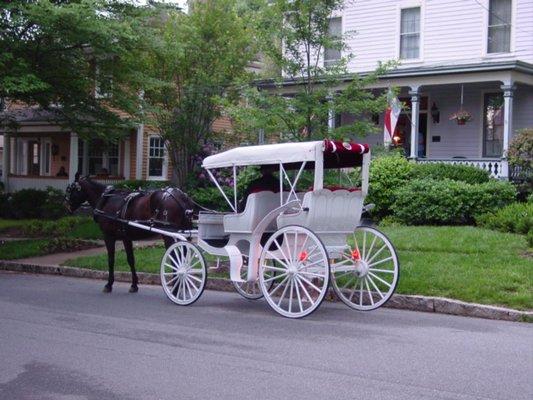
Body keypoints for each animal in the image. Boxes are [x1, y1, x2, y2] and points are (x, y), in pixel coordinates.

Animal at [64, 174, 196, 294]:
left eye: (71, 189)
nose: (67, 206)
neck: (105, 200)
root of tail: (181, 197)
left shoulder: (108, 236)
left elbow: (111, 259)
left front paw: (109, 284)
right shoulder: (126, 238)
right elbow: (130, 259)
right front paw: (134, 285)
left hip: (169, 235)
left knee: (175, 259)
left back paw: (175, 288)